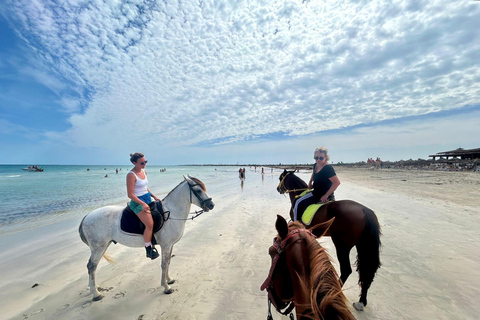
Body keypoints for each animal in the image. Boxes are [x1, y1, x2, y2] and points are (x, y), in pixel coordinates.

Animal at [276, 170, 380, 310]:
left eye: (280, 178)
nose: (278, 189)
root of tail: (364, 210)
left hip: (342, 246)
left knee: (346, 270)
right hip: (363, 246)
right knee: (366, 273)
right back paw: (361, 301)